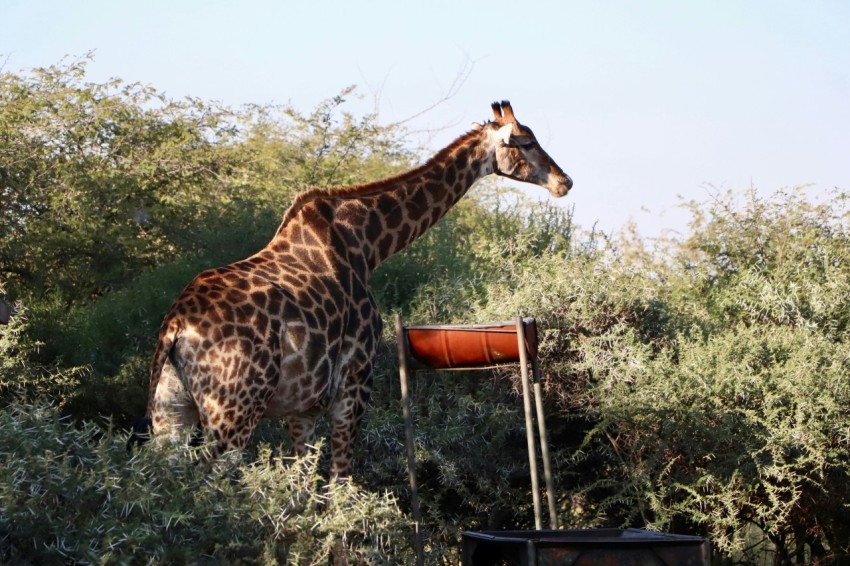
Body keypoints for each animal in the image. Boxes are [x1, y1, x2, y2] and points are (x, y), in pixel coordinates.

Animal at [147, 102, 568, 480]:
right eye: (526, 142)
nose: (564, 182)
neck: (368, 244)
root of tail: (177, 327)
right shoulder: (354, 384)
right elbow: (341, 483)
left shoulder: (302, 406)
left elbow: (301, 488)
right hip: (234, 411)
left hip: (170, 415)